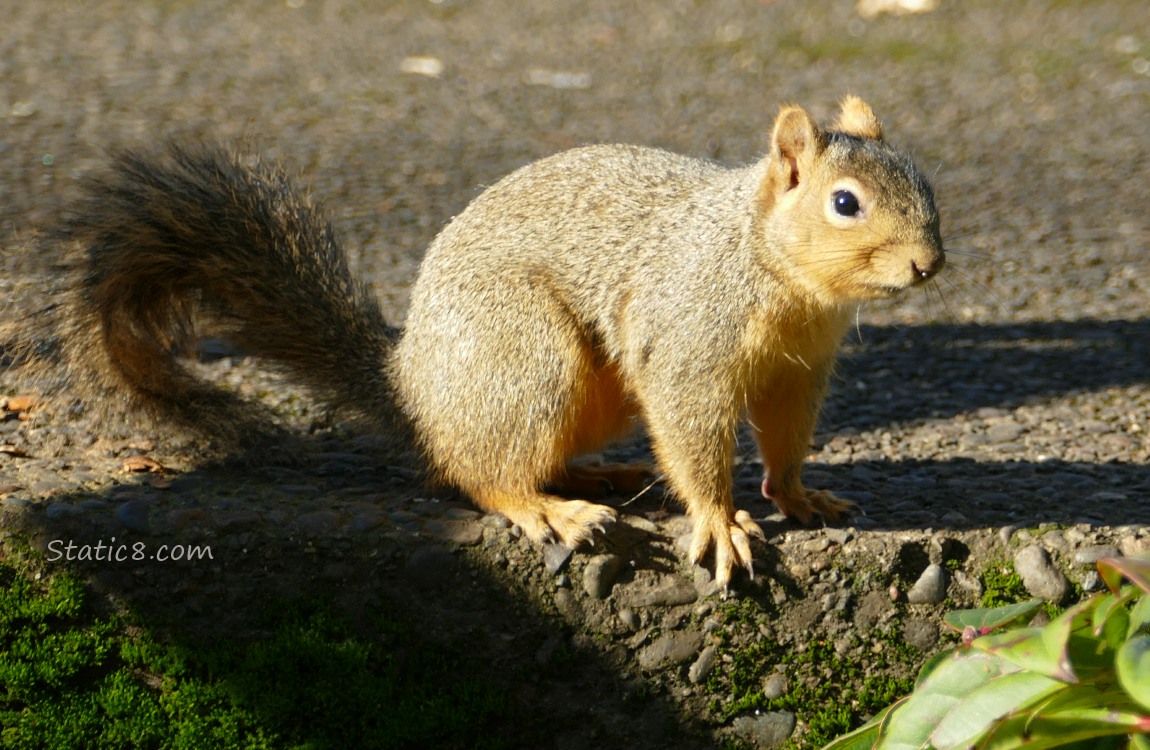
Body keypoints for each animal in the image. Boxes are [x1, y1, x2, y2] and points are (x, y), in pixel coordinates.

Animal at [15, 95, 943, 586]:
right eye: (845, 203)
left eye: (927, 185)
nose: (929, 264)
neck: (776, 274)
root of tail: (412, 383)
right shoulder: (689, 341)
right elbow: (693, 432)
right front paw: (719, 522)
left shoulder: (800, 369)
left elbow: (785, 439)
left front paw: (800, 496)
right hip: (524, 355)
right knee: (472, 471)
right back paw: (547, 508)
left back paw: (598, 476)